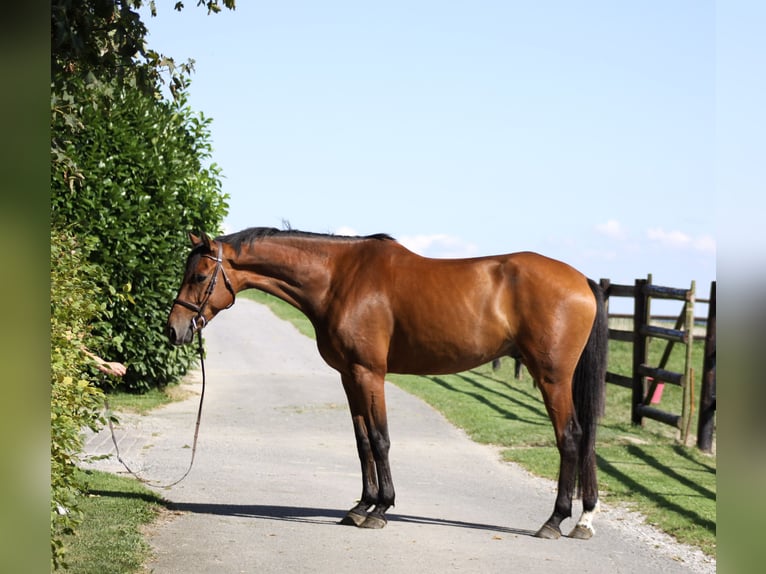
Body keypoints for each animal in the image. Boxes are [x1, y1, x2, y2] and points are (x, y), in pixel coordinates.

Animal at [170, 227, 612, 544]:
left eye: (200, 275)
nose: (175, 330)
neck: (339, 278)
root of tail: (584, 280)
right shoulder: (349, 375)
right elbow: (362, 441)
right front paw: (361, 507)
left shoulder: (370, 373)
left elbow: (381, 439)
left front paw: (381, 510)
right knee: (586, 437)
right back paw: (584, 519)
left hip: (552, 377)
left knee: (571, 437)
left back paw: (554, 521)